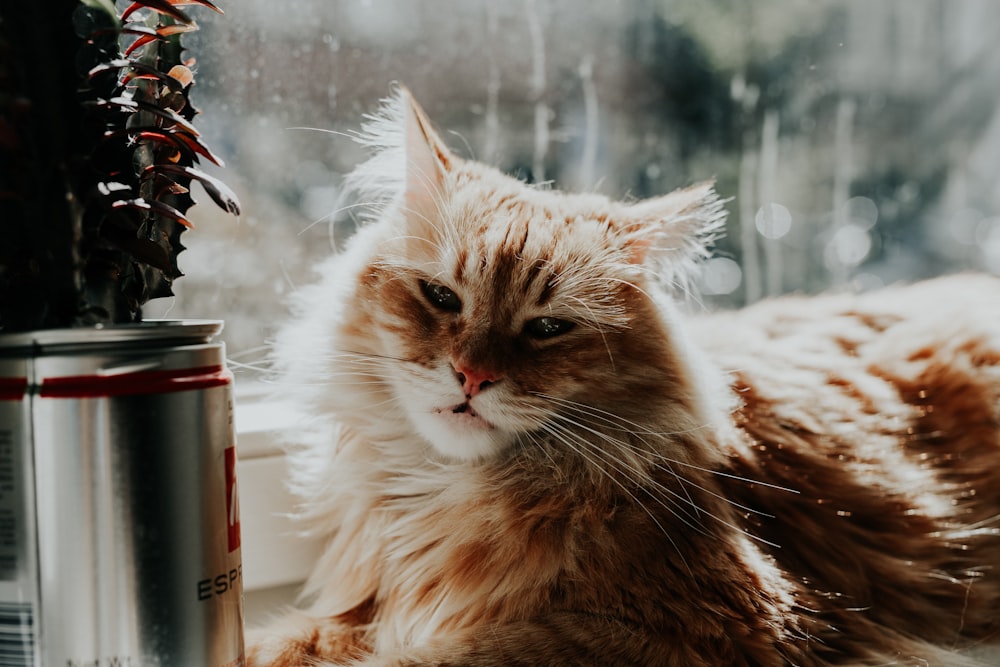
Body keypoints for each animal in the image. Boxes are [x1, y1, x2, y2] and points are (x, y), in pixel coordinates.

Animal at [250, 86, 1000, 664]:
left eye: (547, 328)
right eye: (441, 298)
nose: (471, 375)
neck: (443, 494)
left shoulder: (713, 625)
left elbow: (434, 656)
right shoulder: (366, 600)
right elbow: (290, 639)